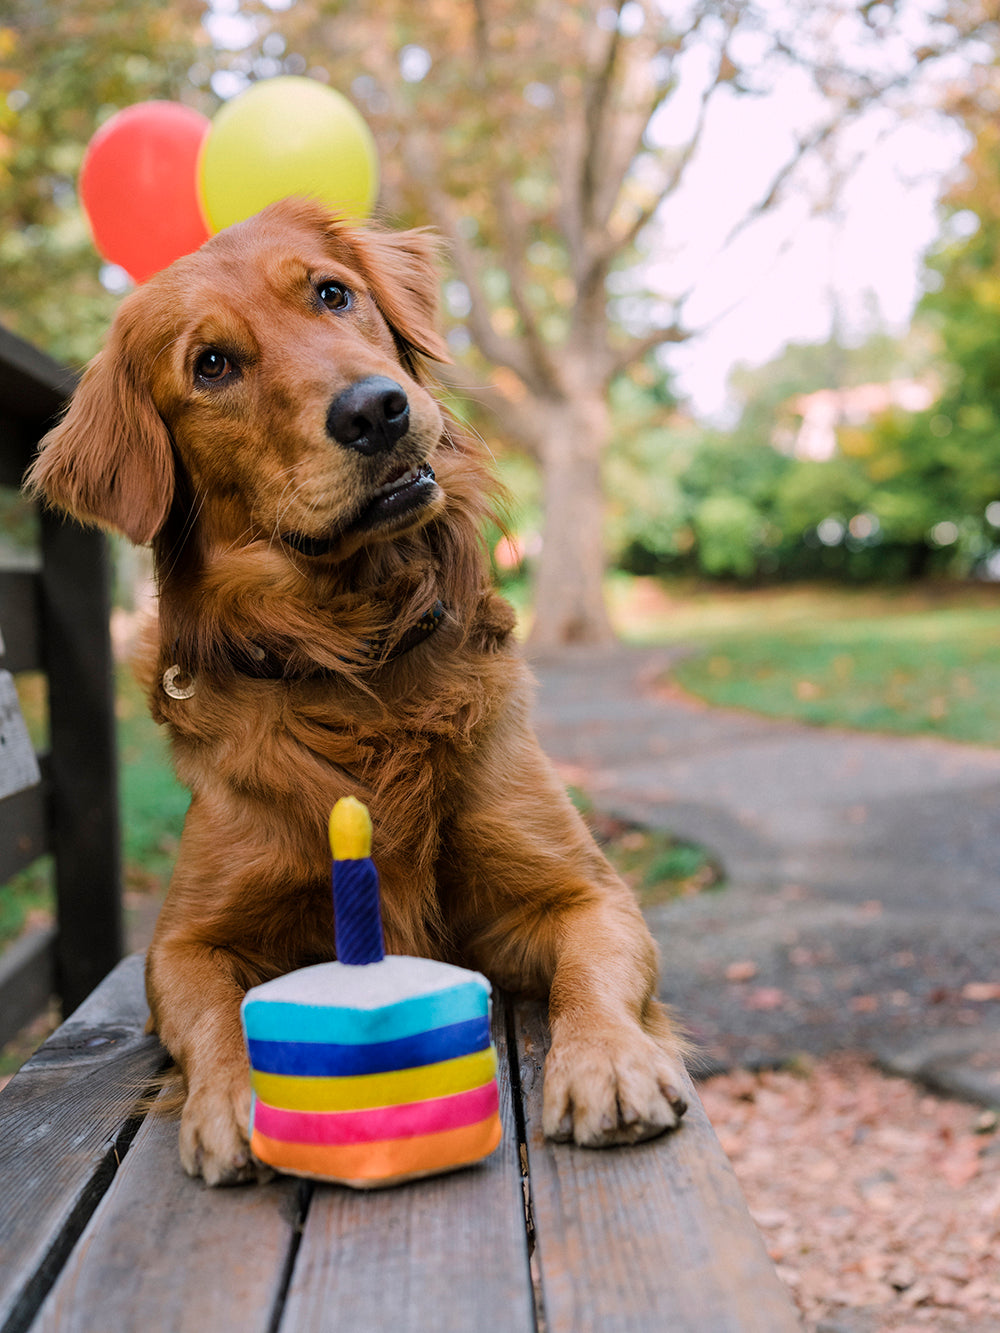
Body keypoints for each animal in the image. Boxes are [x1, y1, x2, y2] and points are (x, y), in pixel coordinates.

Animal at [25, 199, 688, 1189]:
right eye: (210, 364)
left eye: (333, 294)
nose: (376, 409)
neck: (357, 650)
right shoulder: (181, 943)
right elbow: (211, 1012)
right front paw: (241, 1099)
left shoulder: (585, 892)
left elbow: (590, 973)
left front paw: (606, 1059)